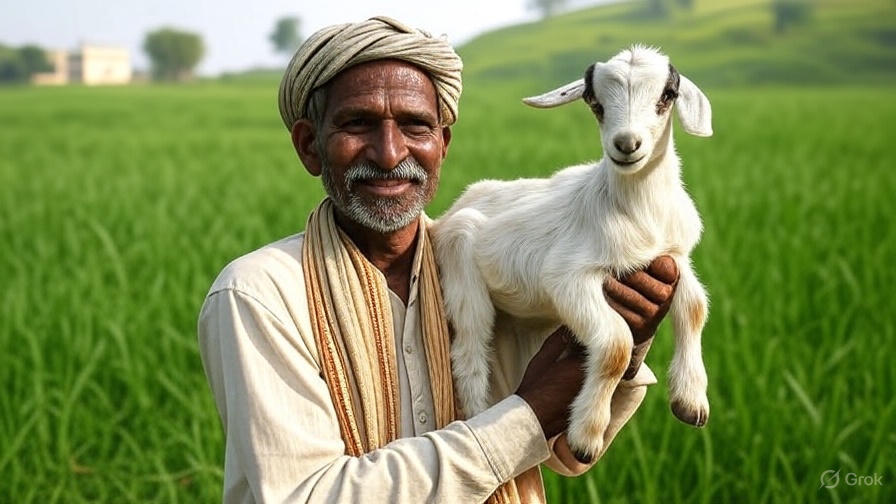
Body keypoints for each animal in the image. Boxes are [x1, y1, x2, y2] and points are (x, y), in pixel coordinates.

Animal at [430, 45, 712, 463]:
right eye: (596, 103)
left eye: (666, 96)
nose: (626, 144)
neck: (636, 210)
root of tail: (455, 208)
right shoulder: (567, 277)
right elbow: (615, 346)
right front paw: (585, 437)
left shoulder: (673, 256)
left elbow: (694, 307)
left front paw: (691, 402)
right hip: (462, 275)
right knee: (469, 353)